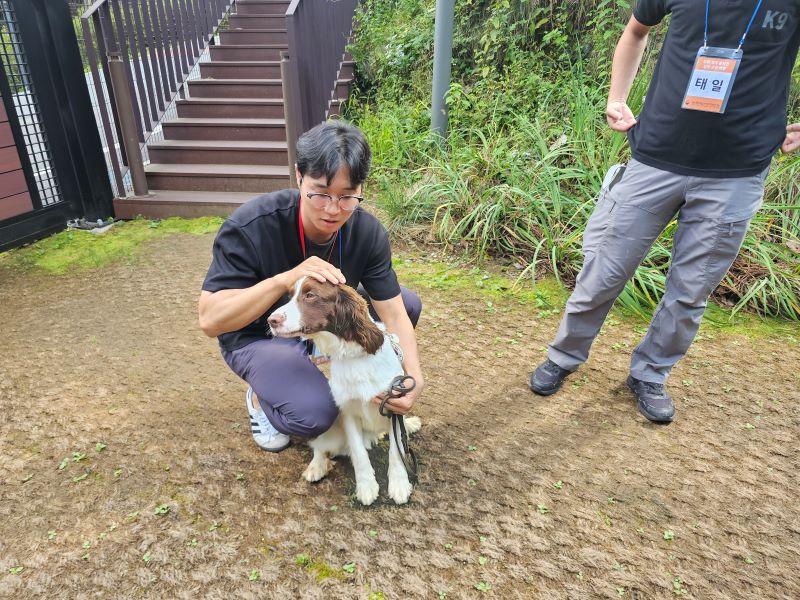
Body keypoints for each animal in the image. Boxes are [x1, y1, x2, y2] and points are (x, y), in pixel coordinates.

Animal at [268, 278, 422, 504]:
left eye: (310, 295)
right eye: (289, 295)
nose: (271, 320)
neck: (354, 355)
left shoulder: (395, 403)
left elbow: (397, 449)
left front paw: (399, 484)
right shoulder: (348, 411)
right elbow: (358, 453)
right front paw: (366, 487)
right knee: (319, 445)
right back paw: (317, 466)